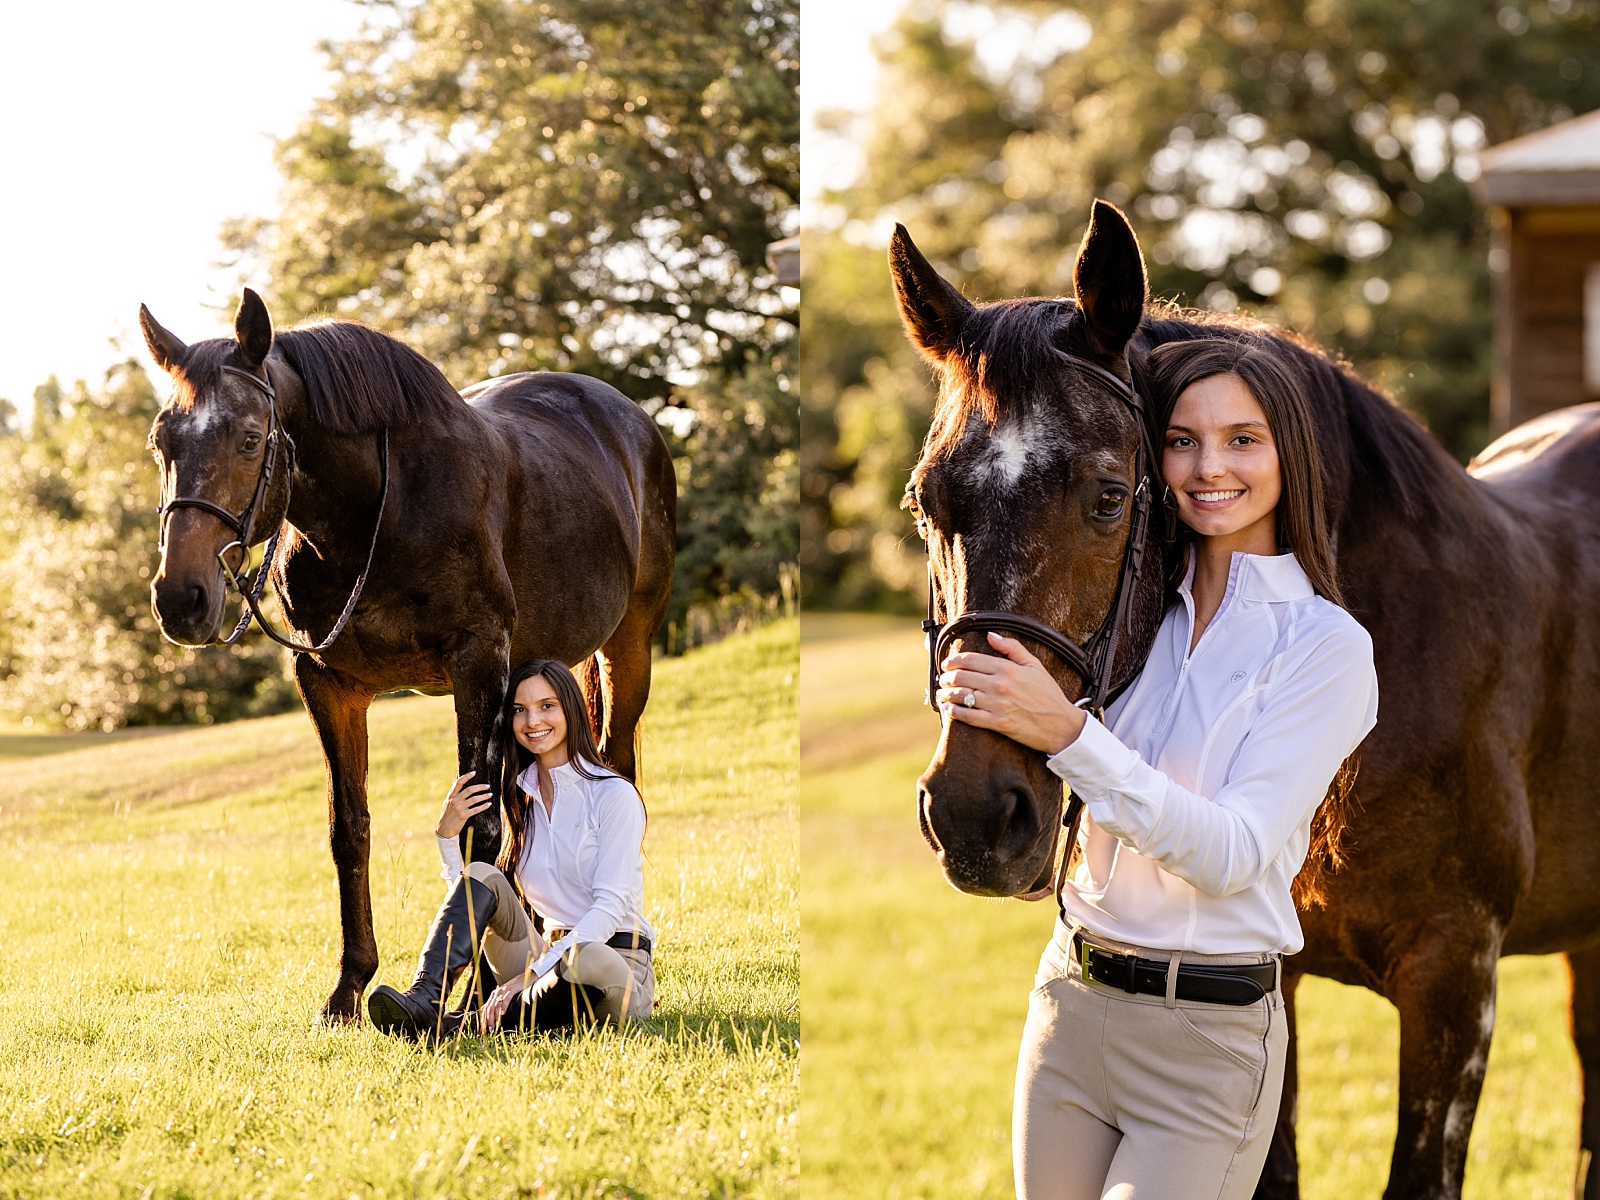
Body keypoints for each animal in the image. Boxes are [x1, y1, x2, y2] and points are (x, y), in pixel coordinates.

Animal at [136, 291, 675, 1024]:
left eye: (249, 437)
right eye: (161, 442)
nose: (180, 598)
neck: (378, 513)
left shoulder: (478, 665)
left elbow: (478, 836)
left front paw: (471, 995)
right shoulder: (329, 683)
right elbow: (350, 829)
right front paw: (349, 988)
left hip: (626, 645)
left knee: (614, 771)